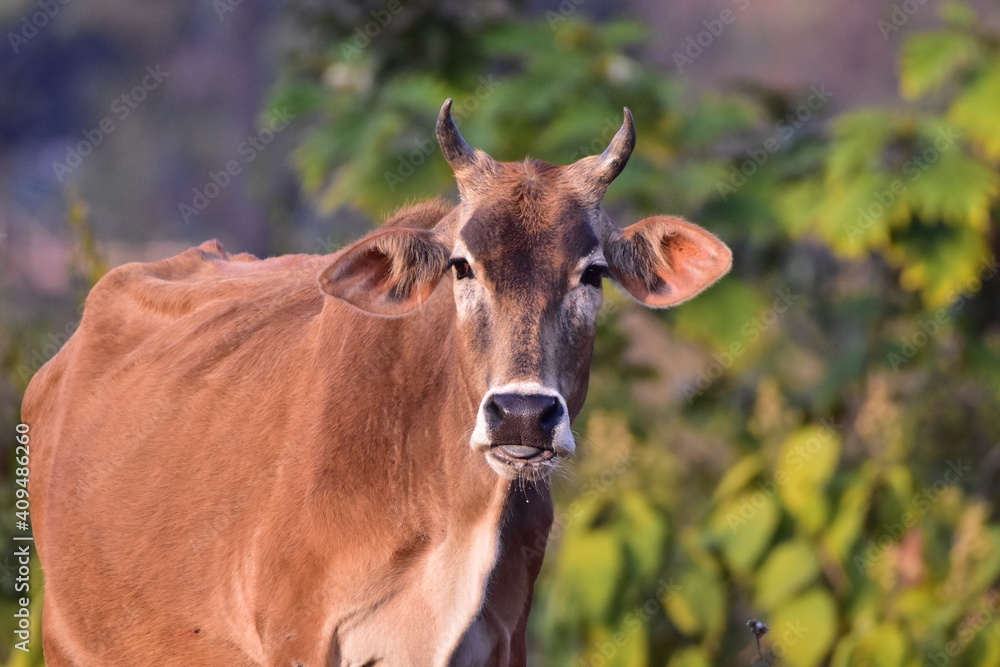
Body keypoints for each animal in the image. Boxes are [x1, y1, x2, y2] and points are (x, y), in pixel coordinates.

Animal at [21, 100, 728, 667]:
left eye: (594, 272)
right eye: (461, 266)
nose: (521, 415)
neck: (449, 518)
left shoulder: (508, 639)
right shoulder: (300, 639)